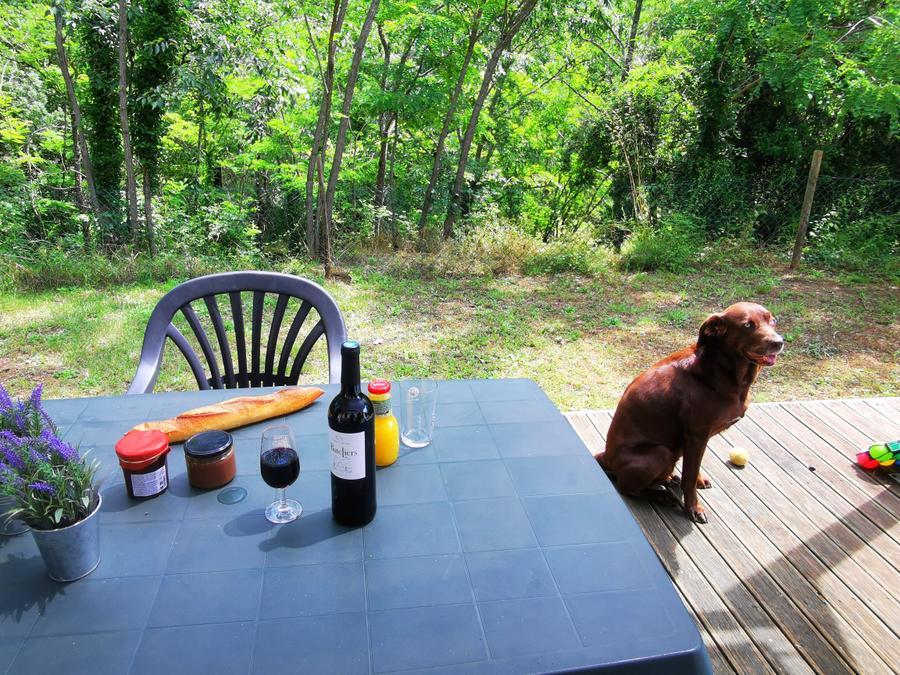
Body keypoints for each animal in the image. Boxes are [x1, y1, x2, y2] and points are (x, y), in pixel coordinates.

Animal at [596, 302, 783, 523]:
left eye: (772, 320)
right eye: (747, 325)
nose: (779, 342)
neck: (721, 370)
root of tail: (605, 457)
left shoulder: (696, 439)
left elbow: (693, 470)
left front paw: (698, 481)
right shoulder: (697, 435)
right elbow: (689, 477)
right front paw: (693, 507)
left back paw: (669, 478)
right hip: (659, 452)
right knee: (626, 487)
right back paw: (662, 496)